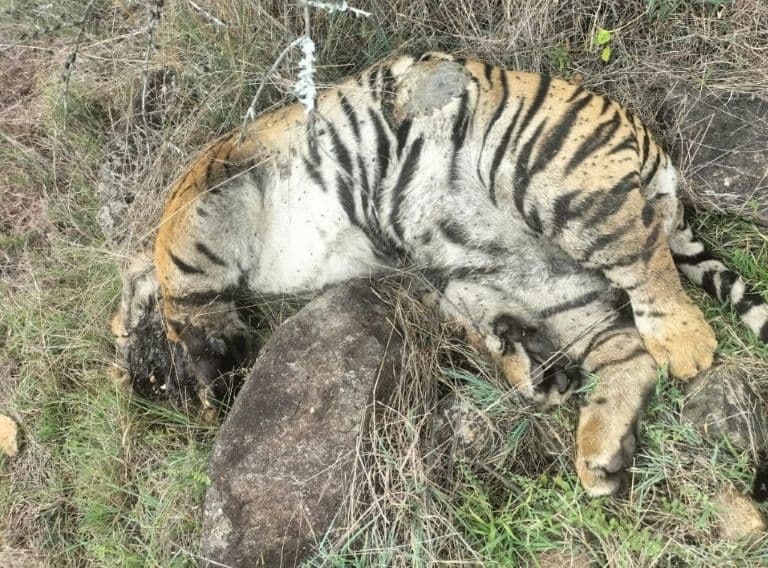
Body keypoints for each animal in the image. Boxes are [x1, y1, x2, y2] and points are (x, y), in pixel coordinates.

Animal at [113, 52, 768, 497]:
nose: (128, 384)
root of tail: (649, 140)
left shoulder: (209, 183)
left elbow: (175, 269)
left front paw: (200, 360)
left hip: (553, 176)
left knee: (644, 257)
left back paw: (686, 347)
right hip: (539, 281)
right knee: (623, 351)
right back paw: (592, 443)